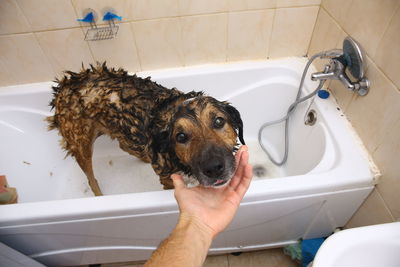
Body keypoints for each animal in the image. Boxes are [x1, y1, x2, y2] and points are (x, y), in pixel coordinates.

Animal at [48, 63, 245, 197]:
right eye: (181, 136)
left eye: (219, 121)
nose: (214, 168)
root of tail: (64, 84)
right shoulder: (167, 179)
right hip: (80, 145)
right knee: (90, 177)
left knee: (124, 146)